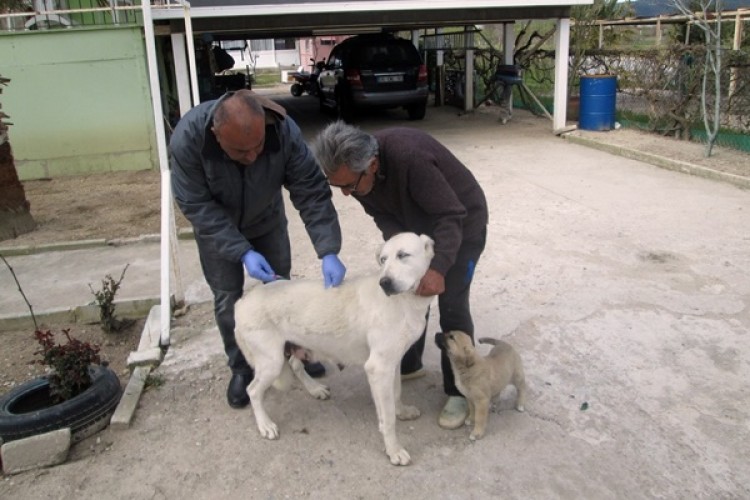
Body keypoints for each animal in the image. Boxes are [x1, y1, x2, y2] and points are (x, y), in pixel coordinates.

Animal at [235, 230, 434, 464]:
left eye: (403, 255)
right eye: (383, 260)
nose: (384, 282)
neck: (405, 301)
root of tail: (241, 302)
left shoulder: (393, 363)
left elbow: (396, 393)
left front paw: (402, 412)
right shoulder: (378, 368)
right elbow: (387, 418)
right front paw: (394, 450)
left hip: (294, 345)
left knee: (294, 364)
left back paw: (314, 389)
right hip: (271, 362)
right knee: (253, 390)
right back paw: (265, 425)